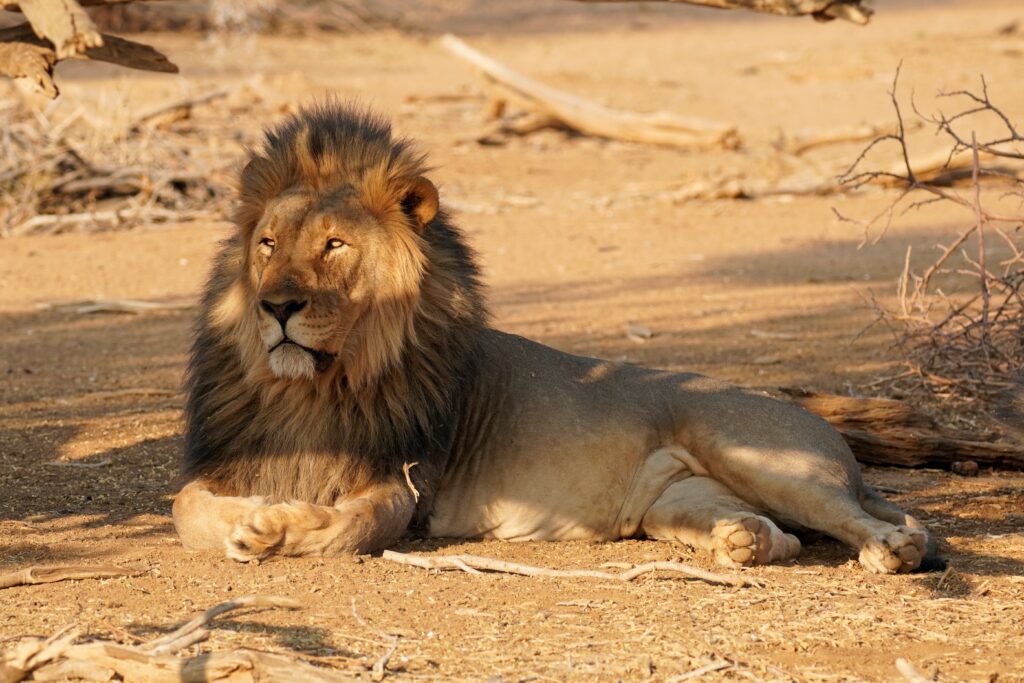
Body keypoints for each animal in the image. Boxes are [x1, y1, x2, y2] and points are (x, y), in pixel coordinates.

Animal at [169, 104, 942, 573]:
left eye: (334, 245)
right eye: (268, 244)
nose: (276, 306)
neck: (314, 386)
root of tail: (834, 441)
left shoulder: (406, 481)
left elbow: (353, 525)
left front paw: (273, 528)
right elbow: (185, 510)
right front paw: (251, 517)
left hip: (759, 453)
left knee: (870, 519)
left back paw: (891, 550)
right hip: (677, 502)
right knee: (780, 536)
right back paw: (742, 540)